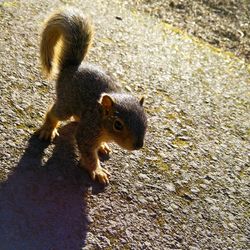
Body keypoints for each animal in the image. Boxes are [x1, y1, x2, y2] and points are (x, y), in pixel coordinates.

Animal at [36, 7, 147, 184]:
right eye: (118, 125)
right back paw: (48, 129)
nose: (138, 145)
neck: (101, 118)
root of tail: (71, 68)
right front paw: (98, 171)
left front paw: (102, 147)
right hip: (67, 103)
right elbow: (88, 154)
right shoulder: (88, 131)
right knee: (54, 113)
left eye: (145, 121)